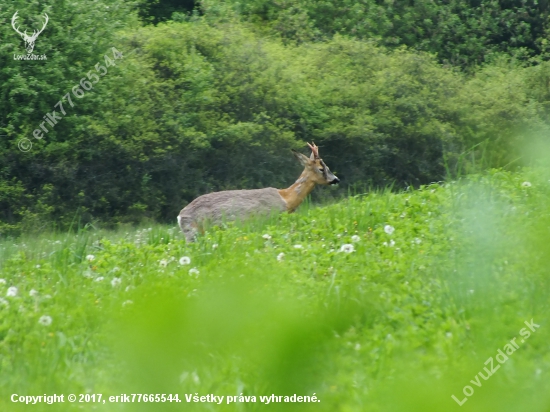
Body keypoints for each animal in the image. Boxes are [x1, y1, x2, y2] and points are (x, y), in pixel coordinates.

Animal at [179, 144, 338, 241]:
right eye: (321, 168)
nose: (336, 179)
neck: (286, 198)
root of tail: (180, 216)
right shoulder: (270, 218)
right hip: (193, 232)